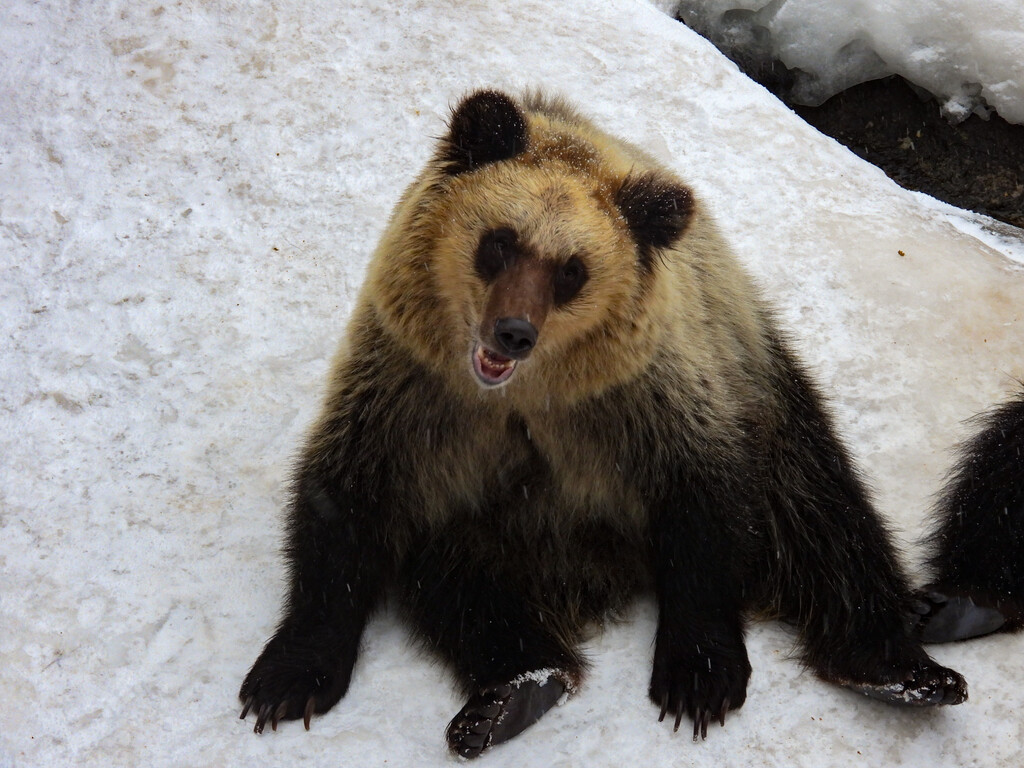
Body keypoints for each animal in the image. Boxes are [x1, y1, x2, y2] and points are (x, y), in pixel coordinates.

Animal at [239, 89, 967, 758]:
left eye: (572, 269)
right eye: (500, 241)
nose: (513, 332)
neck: (525, 395)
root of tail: (594, 575)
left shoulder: (643, 402)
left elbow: (706, 511)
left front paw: (698, 678)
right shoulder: (411, 391)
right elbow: (346, 502)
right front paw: (286, 680)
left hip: (765, 388)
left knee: (822, 517)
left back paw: (900, 670)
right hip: (485, 524)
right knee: (462, 583)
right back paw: (512, 691)